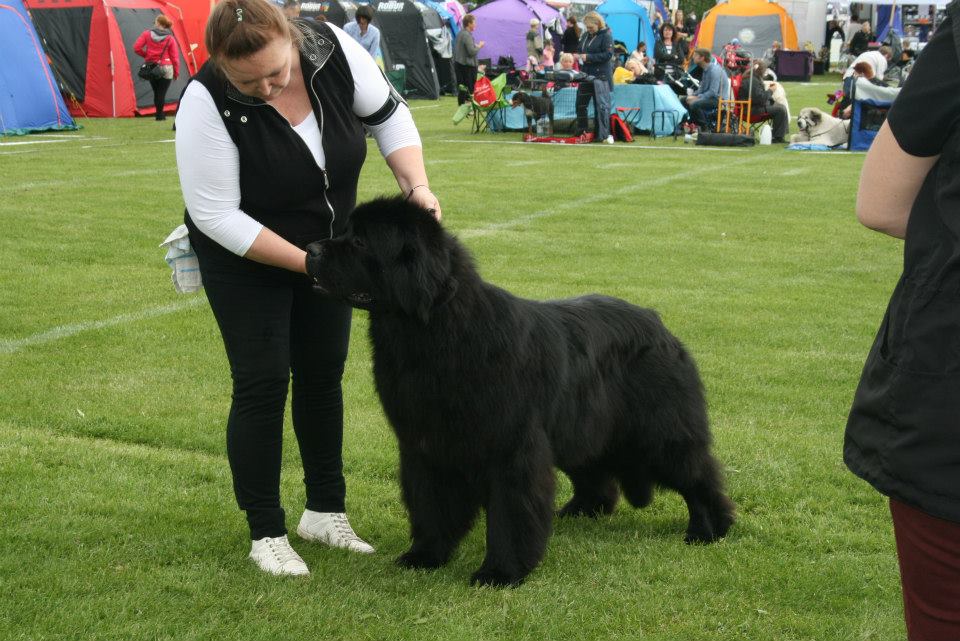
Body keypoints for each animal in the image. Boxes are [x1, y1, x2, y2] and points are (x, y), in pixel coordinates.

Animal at [306, 197, 735, 587]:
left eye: (360, 241)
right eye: (346, 231)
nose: (310, 249)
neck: (437, 334)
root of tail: (657, 323)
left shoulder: (511, 447)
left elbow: (509, 513)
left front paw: (500, 573)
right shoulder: (424, 445)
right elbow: (431, 504)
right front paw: (425, 556)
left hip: (657, 431)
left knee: (699, 473)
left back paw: (710, 529)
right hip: (580, 425)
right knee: (596, 470)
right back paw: (581, 510)